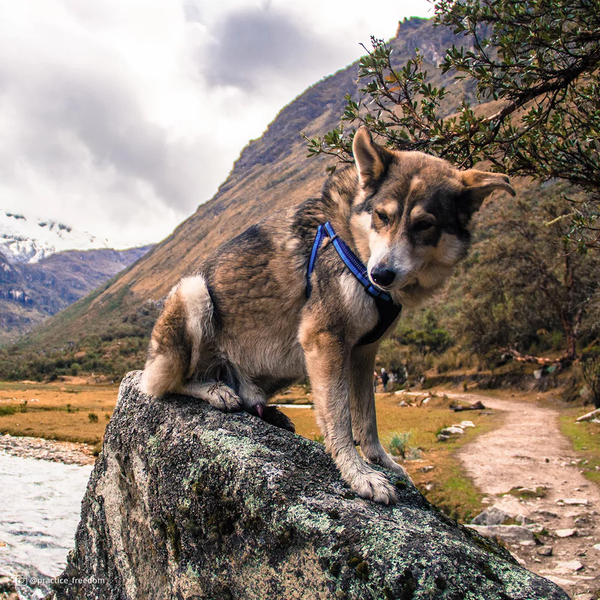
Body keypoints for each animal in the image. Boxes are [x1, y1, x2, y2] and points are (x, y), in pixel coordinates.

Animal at [142, 129, 516, 504]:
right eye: (382, 216)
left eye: (424, 225)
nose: (381, 275)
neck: (355, 242)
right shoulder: (326, 341)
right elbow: (340, 419)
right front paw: (359, 475)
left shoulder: (364, 352)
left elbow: (367, 419)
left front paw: (382, 463)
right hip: (194, 294)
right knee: (165, 384)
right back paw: (215, 390)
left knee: (247, 396)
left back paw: (266, 409)